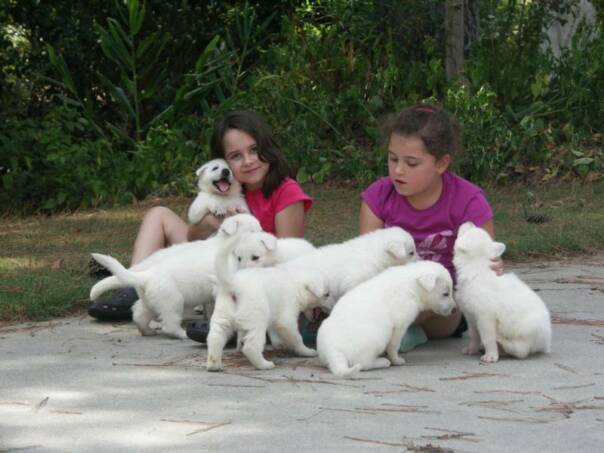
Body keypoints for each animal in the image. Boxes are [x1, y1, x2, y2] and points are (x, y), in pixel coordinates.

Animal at [89, 214, 260, 338]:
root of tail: (146, 274)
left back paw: (147, 331)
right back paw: (182, 334)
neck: (228, 246)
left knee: (139, 314)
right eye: (253, 231)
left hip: (151, 301)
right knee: (169, 325)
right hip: (173, 301)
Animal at [316, 258, 452, 378]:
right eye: (446, 294)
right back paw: (382, 362)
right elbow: (394, 346)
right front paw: (396, 360)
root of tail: (335, 350)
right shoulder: (399, 326)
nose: (453, 307)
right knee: (364, 363)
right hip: (376, 338)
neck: (411, 284)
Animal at [452, 221, 552, 362]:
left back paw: (502, 342)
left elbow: (487, 338)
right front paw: (472, 349)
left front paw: (491, 355)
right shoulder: (471, 316)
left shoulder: (485, 318)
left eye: (466, 231)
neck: (477, 267)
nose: (469, 222)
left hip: (528, 329)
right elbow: (474, 335)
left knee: (521, 350)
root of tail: (546, 343)